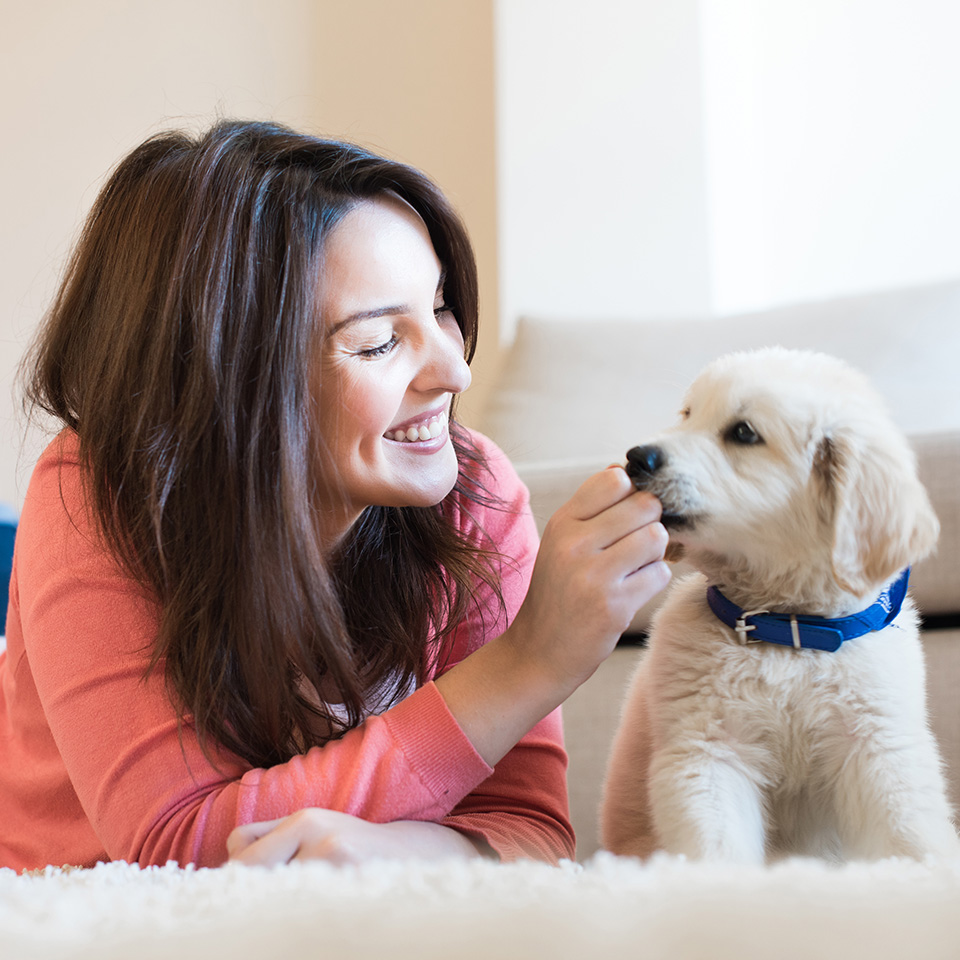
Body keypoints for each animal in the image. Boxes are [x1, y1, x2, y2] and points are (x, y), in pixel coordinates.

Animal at [604, 346, 956, 864]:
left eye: (743, 433)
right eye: (687, 415)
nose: (635, 457)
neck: (788, 628)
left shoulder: (878, 747)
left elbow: (908, 837)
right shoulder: (709, 751)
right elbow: (717, 850)